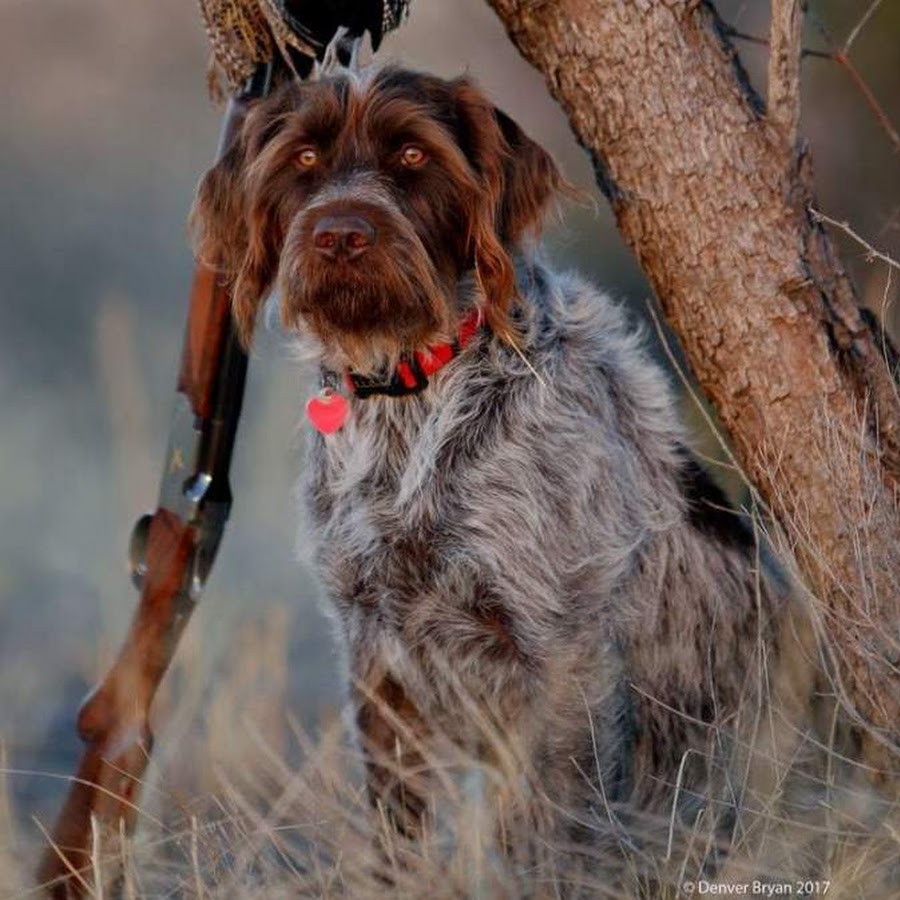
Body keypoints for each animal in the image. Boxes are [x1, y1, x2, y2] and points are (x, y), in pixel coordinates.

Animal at [193, 65, 820, 884]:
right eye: (303, 159)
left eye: (414, 155)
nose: (341, 235)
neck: (411, 398)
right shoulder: (376, 655)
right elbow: (399, 833)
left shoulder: (559, 658)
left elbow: (548, 833)